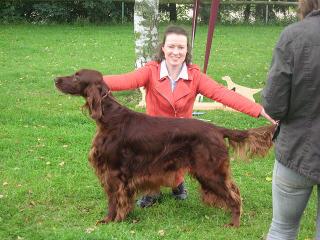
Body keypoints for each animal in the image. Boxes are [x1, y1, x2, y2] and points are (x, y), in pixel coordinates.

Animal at [55, 69, 276, 227]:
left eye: (76, 76)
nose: (55, 79)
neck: (109, 116)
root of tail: (216, 129)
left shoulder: (113, 171)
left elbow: (112, 200)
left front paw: (110, 220)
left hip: (209, 172)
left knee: (234, 196)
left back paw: (234, 224)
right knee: (235, 191)